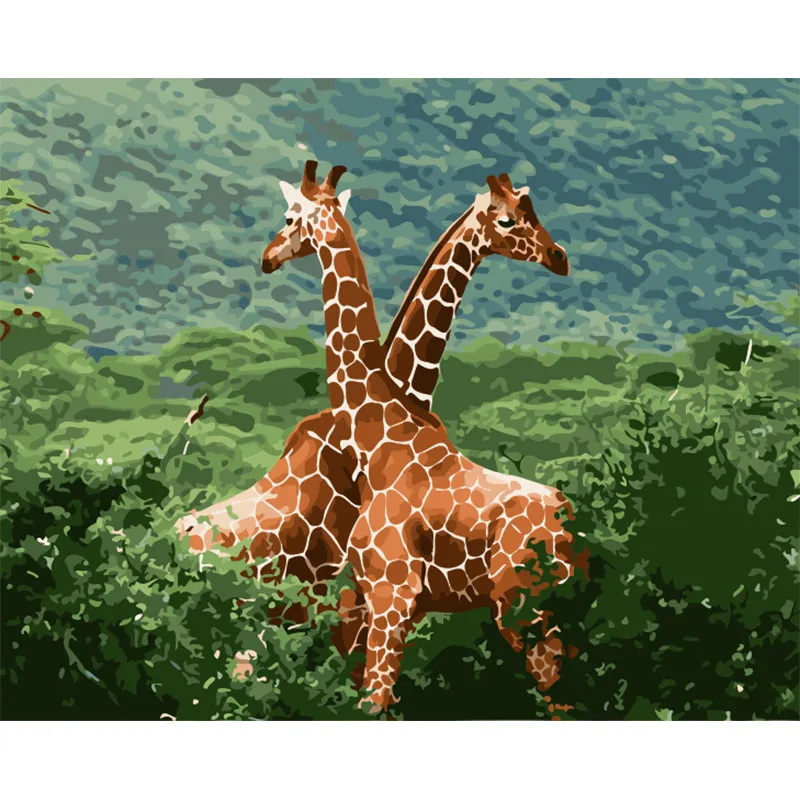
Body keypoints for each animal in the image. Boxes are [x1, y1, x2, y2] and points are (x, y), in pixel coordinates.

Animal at [249, 161, 583, 711]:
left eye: (289, 216)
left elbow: (373, 703)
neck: (381, 426)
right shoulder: (377, 601)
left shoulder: (392, 595)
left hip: (523, 609)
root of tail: (569, 522)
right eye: (510, 219)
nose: (267, 257)